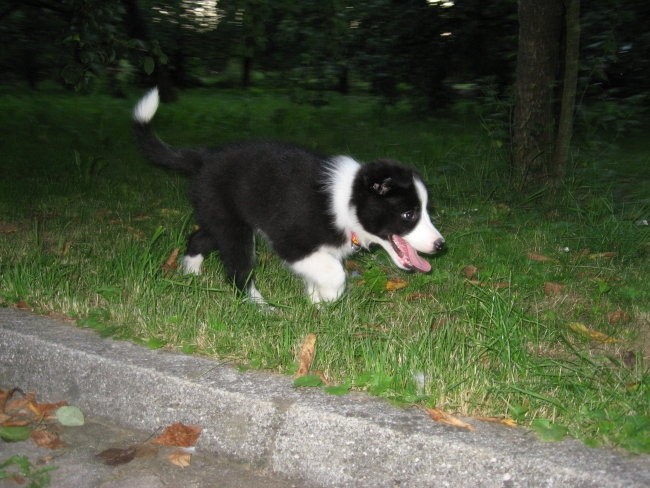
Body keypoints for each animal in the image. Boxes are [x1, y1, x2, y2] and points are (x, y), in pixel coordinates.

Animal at [134, 86, 442, 302]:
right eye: (409, 214)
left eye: (428, 211)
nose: (440, 245)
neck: (347, 201)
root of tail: (203, 157)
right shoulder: (291, 241)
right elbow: (334, 272)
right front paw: (328, 297)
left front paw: (315, 301)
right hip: (231, 224)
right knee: (238, 271)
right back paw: (260, 307)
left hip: (220, 215)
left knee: (198, 237)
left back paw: (190, 274)